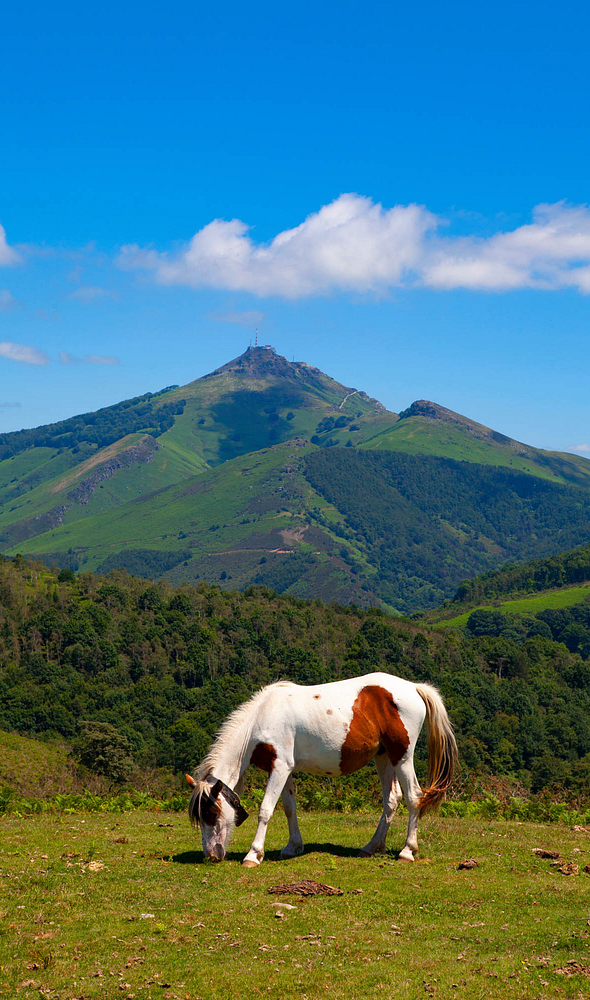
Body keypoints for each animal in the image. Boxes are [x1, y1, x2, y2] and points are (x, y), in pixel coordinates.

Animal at [185, 672, 458, 868]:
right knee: (392, 800)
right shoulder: (285, 769)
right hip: (383, 757)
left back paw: (407, 851)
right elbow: (289, 808)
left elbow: (266, 810)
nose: (211, 855)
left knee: (413, 797)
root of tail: (413, 687)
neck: (262, 718)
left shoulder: (280, 767)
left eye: (210, 813)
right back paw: (372, 847)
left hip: (402, 756)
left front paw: (253, 854)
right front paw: (293, 846)